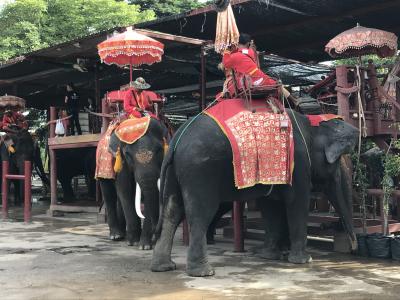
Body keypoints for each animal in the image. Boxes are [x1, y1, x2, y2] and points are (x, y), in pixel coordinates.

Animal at [152, 109, 358, 276]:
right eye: (339, 160)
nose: (354, 249)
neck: (310, 122)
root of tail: (176, 138)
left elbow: (271, 205)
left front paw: (269, 256)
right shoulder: (297, 162)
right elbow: (297, 201)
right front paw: (303, 260)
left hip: (176, 171)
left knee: (173, 211)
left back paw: (164, 267)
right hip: (199, 170)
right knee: (200, 214)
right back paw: (203, 272)